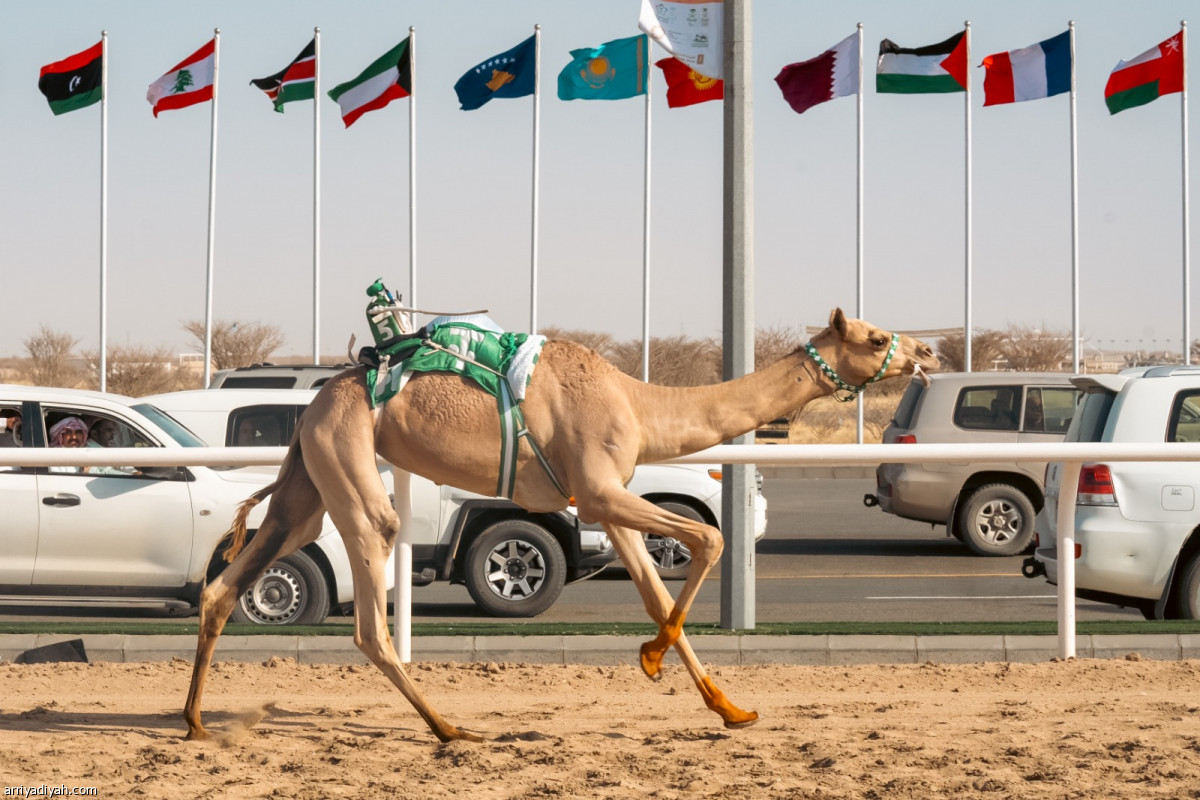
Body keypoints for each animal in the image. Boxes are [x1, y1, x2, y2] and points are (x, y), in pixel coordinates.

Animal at [184, 309, 936, 743]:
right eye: (874, 337)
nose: (927, 353)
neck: (639, 404)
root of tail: (321, 396)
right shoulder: (599, 489)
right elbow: (712, 537)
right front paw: (655, 661)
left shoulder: (608, 500)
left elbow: (655, 589)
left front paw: (727, 707)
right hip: (350, 464)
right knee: (372, 605)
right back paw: (450, 728)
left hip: (307, 479)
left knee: (228, 585)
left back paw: (193, 721)